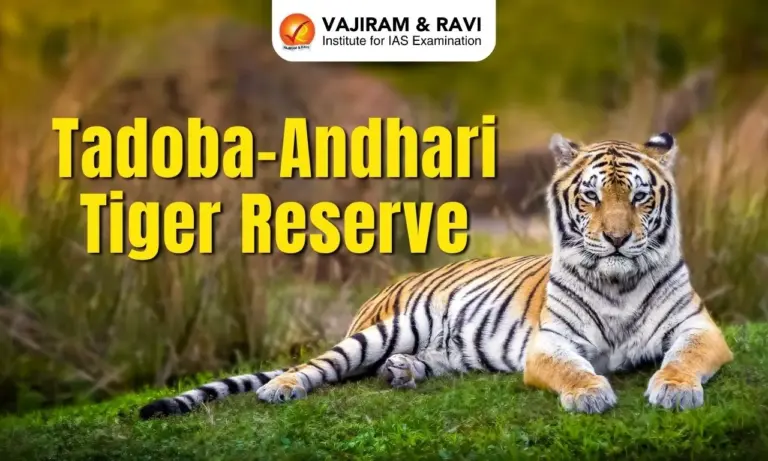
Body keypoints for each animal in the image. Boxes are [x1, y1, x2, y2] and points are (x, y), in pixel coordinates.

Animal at [139, 131, 733, 419]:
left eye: (638, 197)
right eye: (590, 197)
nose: (615, 238)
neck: (618, 282)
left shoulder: (700, 328)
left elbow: (684, 358)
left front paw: (674, 391)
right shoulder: (552, 342)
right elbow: (571, 369)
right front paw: (589, 394)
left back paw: (402, 373)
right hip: (384, 330)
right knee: (320, 365)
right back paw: (281, 388)